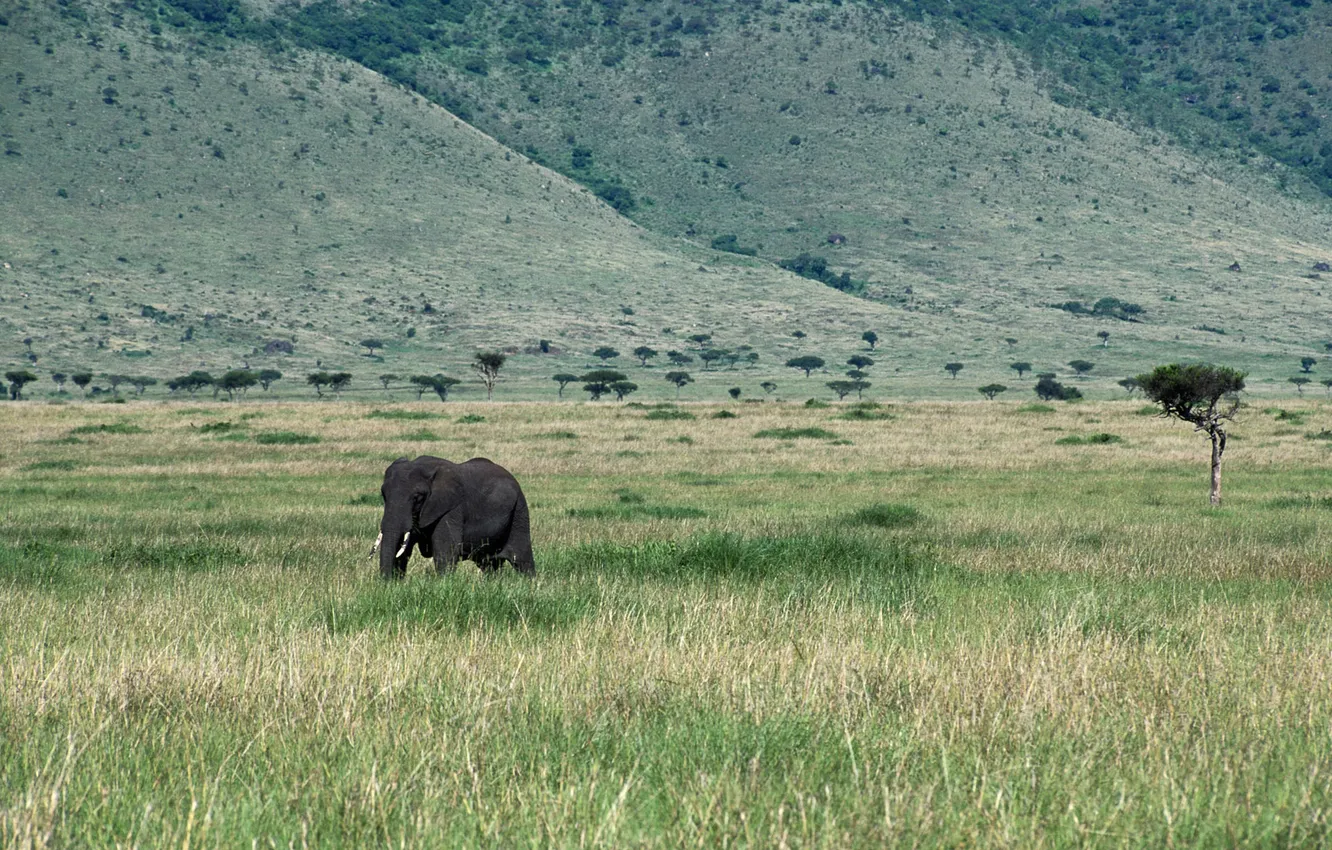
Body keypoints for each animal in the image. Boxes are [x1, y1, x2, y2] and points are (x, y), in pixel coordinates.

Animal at [372, 456, 535, 579]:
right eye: (383, 494)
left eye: (417, 497)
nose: (385, 583)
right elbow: (403, 549)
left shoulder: (451, 509)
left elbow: (445, 550)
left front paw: (442, 584)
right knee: (489, 564)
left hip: (519, 510)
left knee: (522, 558)